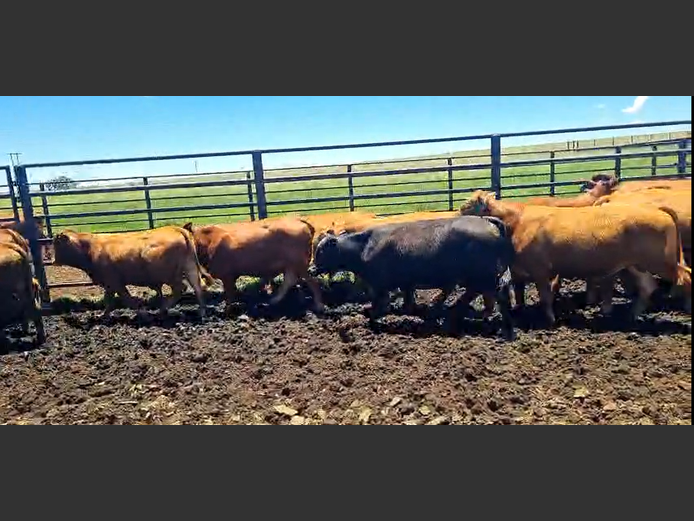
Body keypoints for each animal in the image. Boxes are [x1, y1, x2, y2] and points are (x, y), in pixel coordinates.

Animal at [52, 225, 207, 318]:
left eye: (57, 244)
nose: (53, 261)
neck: (91, 248)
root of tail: (174, 228)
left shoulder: (114, 282)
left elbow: (126, 299)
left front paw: (142, 314)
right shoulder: (111, 283)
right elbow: (109, 300)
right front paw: (104, 315)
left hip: (168, 275)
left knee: (180, 288)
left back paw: (163, 309)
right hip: (190, 268)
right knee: (197, 288)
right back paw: (201, 312)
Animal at [182, 217, 325, 313]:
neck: (210, 242)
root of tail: (298, 220)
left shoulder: (227, 276)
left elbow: (229, 295)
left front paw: (227, 310)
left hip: (300, 264)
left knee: (312, 282)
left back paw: (318, 305)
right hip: (291, 266)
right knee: (290, 280)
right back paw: (274, 300)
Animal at [312, 216, 517, 340]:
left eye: (320, 251)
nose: (312, 269)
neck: (363, 246)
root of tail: (487, 222)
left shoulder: (381, 285)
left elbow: (381, 305)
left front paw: (369, 317)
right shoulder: (406, 284)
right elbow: (408, 303)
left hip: (483, 276)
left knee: (496, 294)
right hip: (478, 277)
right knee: (478, 295)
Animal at [459, 190, 692, 325]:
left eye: (468, 205)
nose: (457, 213)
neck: (518, 221)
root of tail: (657, 210)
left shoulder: (540, 270)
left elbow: (545, 296)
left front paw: (550, 319)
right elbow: (521, 292)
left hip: (661, 261)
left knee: (685, 277)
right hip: (635, 265)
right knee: (647, 286)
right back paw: (632, 315)